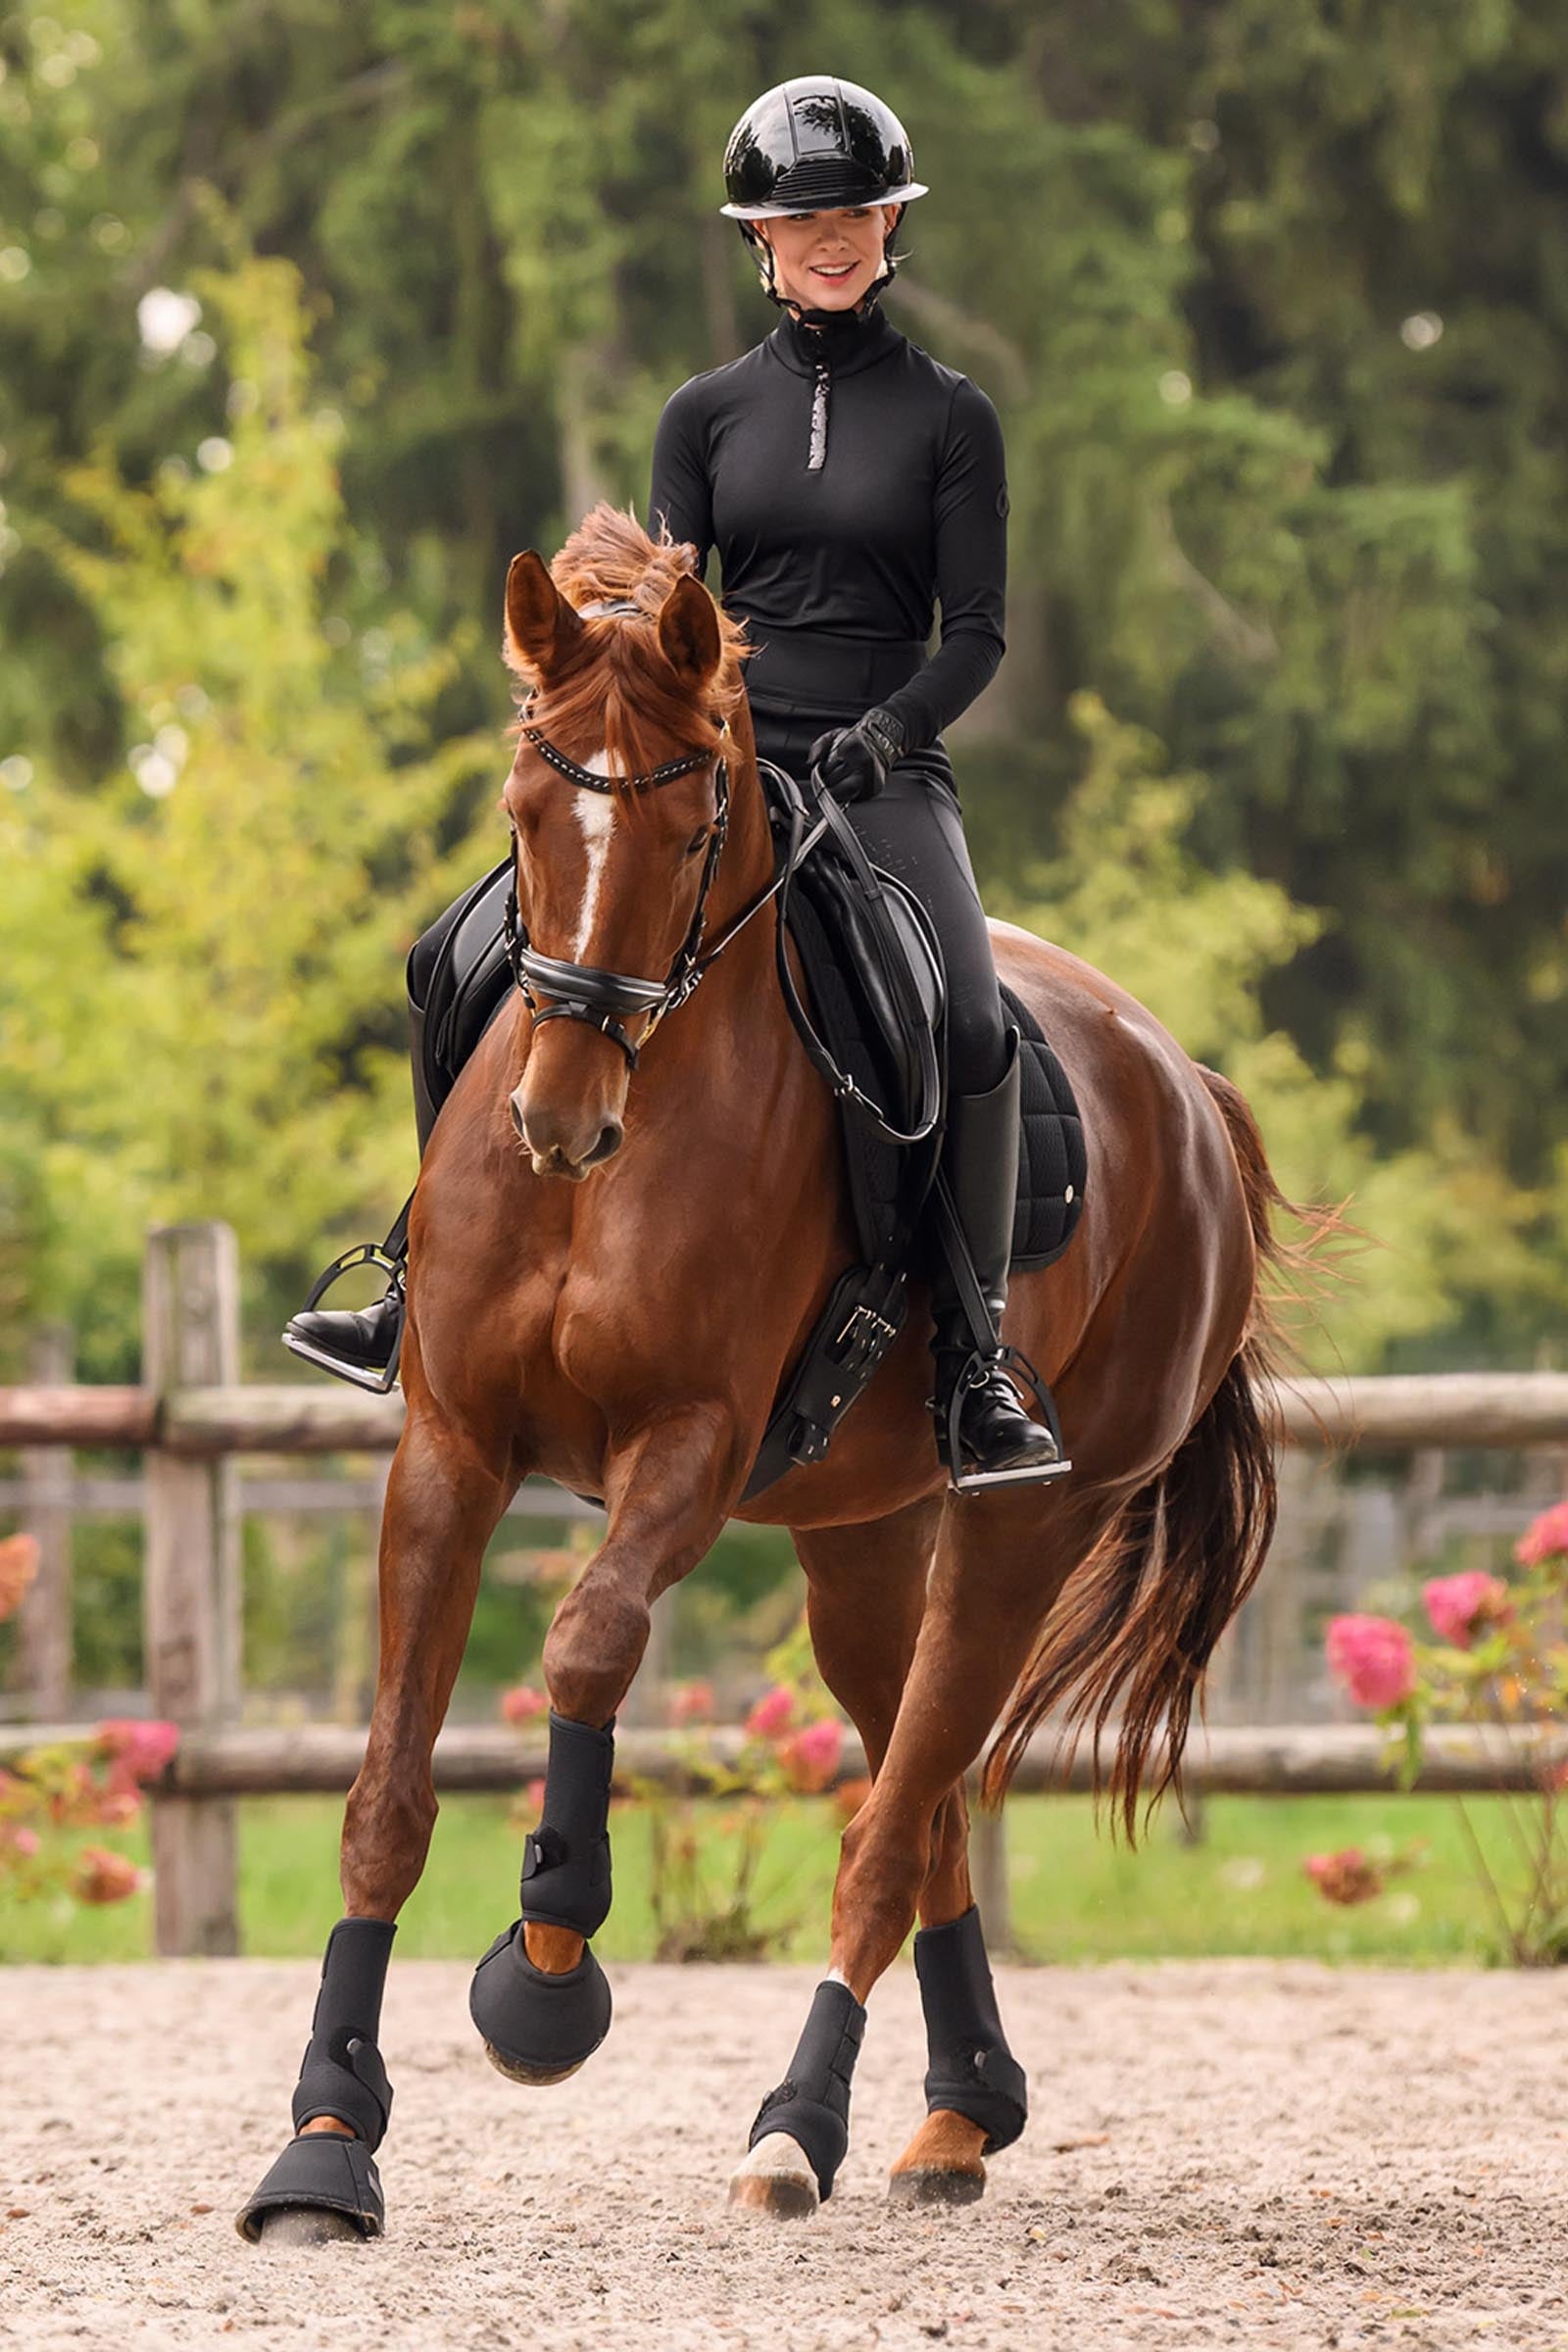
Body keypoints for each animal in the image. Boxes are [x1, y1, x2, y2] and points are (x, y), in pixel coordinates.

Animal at [238, 504, 1315, 2242]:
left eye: (692, 837)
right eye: (524, 814)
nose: (558, 1121)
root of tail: (1187, 1081)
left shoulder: (690, 1445)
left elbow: (590, 1643)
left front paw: (547, 1972)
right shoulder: (451, 1448)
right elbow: (389, 1793)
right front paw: (326, 2140)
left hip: (1025, 1527)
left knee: (892, 1823)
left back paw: (799, 2126)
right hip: (861, 1540)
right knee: (917, 1805)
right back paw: (959, 2113)